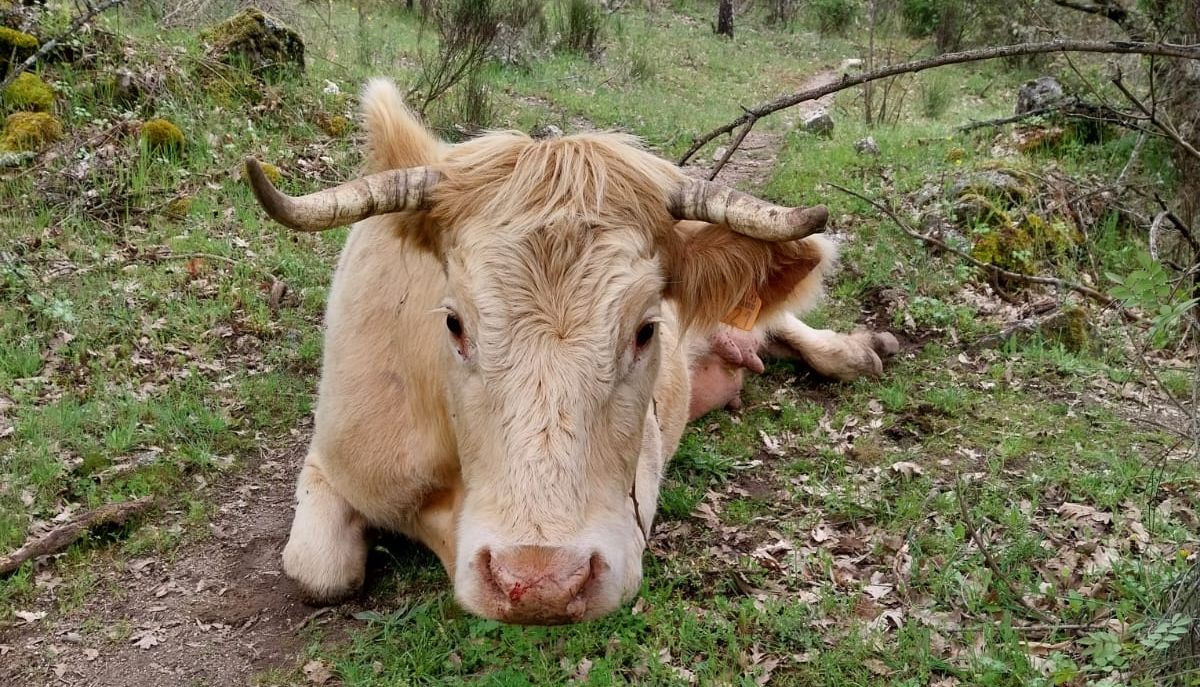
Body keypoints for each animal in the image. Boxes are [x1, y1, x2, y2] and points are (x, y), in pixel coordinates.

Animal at [244, 78, 897, 625]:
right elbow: (321, 571)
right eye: (453, 323)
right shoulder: (334, 460)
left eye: (646, 330)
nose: (542, 582)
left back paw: (860, 349)